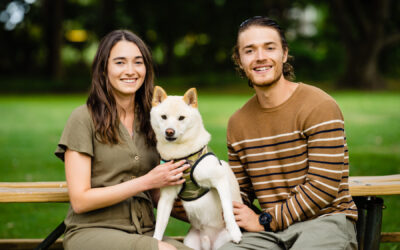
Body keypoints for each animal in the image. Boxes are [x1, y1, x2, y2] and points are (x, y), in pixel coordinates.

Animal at [151, 86, 242, 250]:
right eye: (164, 117)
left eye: (181, 118)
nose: (169, 131)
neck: (181, 154)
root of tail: (208, 241)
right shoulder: (167, 196)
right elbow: (160, 224)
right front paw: (156, 241)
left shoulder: (220, 179)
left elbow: (227, 209)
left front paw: (235, 232)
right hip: (190, 242)